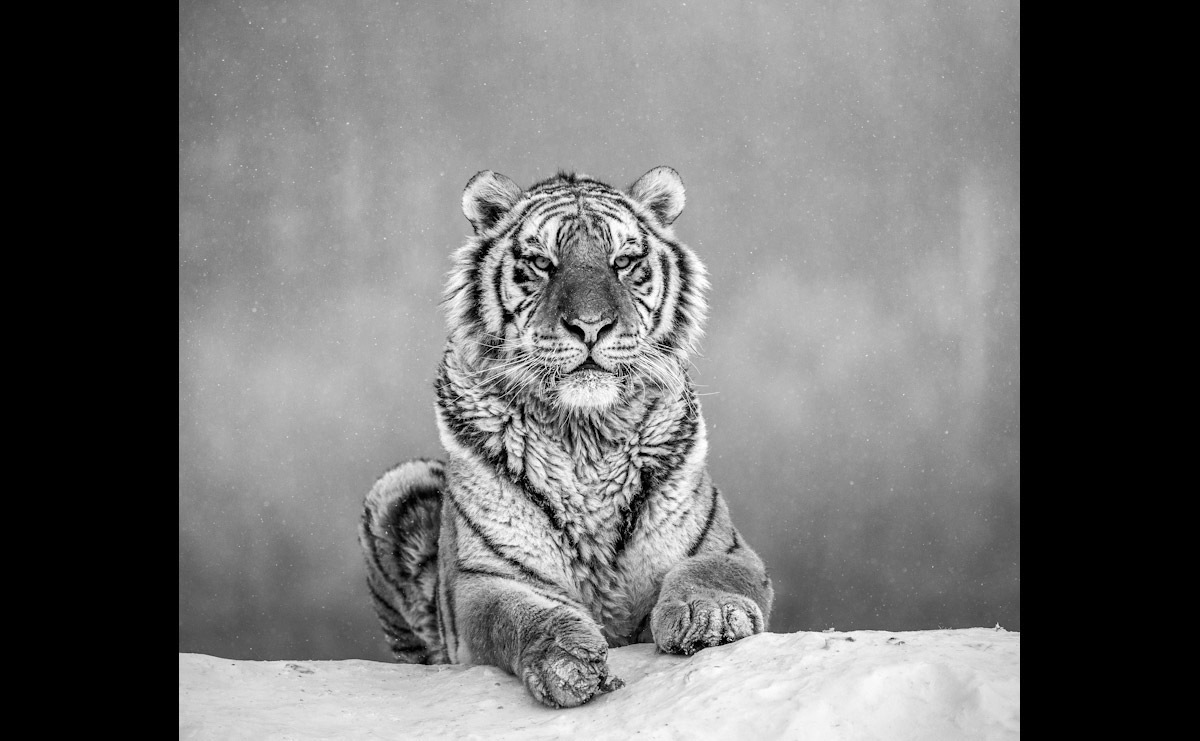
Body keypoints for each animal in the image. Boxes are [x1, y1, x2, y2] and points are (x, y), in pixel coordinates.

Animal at [359, 167, 774, 708]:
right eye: (542, 263)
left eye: (624, 262)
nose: (591, 327)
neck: (586, 436)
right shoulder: (485, 581)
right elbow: (523, 616)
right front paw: (570, 661)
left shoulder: (723, 546)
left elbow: (707, 572)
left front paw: (711, 618)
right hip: (399, 487)